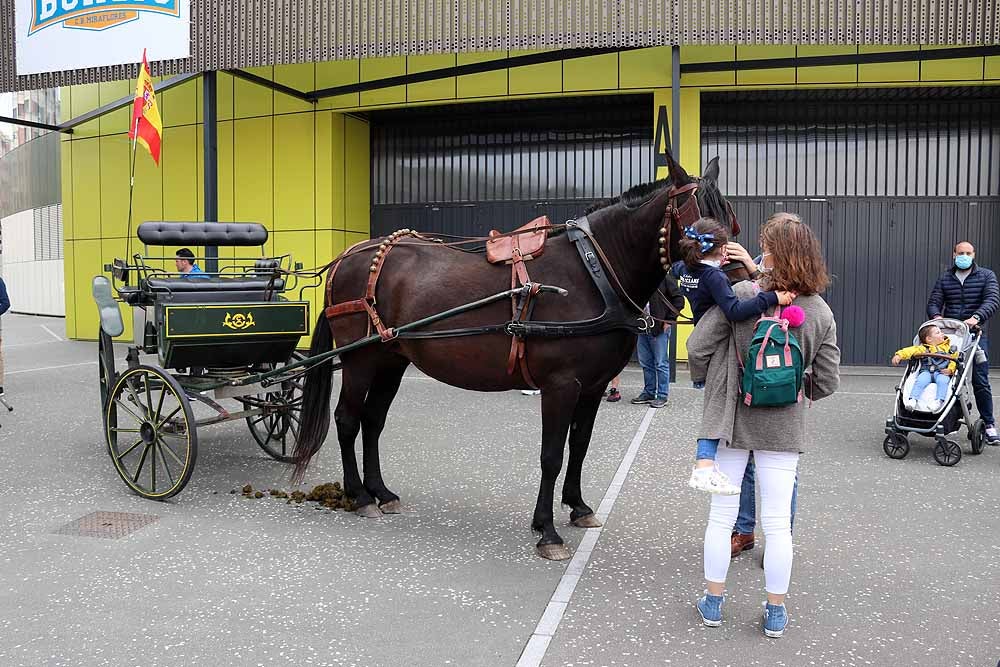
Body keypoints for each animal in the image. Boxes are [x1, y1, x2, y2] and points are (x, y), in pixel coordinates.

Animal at [292, 150, 740, 560]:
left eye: (732, 222)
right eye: (704, 230)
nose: (742, 283)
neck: (594, 272)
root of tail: (348, 257)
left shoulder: (592, 387)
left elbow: (580, 446)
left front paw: (578, 507)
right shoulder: (561, 386)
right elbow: (552, 455)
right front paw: (547, 530)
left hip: (391, 360)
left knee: (372, 421)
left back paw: (381, 492)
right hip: (359, 361)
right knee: (347, 419)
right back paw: (359, 496)